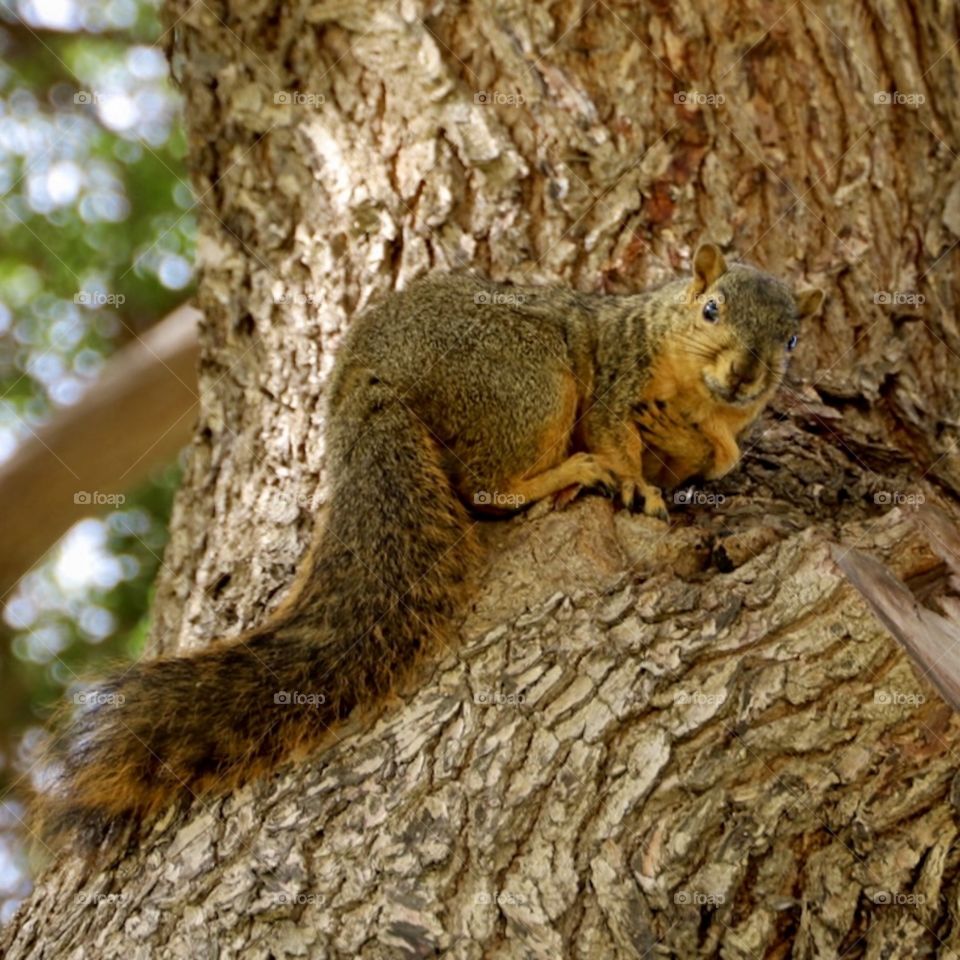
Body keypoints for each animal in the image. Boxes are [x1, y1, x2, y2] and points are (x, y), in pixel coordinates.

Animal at [37, 243, 823, 848]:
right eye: (711, 309)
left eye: (791, 340)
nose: (745, 375)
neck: (695, 393)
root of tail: (368, 383)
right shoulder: (617, 379)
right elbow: (616, 434)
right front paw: (633, 481)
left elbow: (714, 456)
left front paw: (708, 455)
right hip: (528, 374)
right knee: (485, 485)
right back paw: (569, 473)